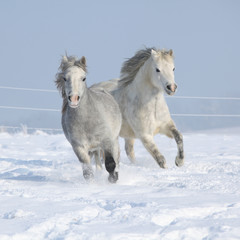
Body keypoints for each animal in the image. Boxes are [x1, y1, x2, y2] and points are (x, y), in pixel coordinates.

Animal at [55, 54, 121, 182]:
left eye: (83, 78)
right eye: (65, 78)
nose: (73, 99)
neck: (86, 120)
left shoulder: (106, 141)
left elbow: (110, 164)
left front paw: (113, 179)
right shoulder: (78, 147)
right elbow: (87, 172)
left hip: (114, 140)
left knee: (116, 158)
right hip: (93, 148)